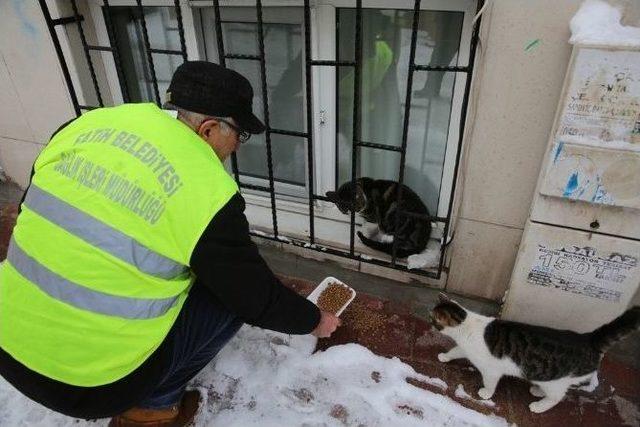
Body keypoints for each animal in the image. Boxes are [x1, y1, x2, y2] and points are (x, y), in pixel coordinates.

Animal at [430, 294, 640, 414]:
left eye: (433, 319)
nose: (429, 320)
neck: (466, 325)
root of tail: (589, 338)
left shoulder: (491, 369)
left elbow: (490, 382)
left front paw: (486, 393)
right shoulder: (465, 349)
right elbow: (455, 350)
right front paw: (444, 357)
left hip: (557, 380)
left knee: (557, 396)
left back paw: (539, 406)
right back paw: (537, 391)